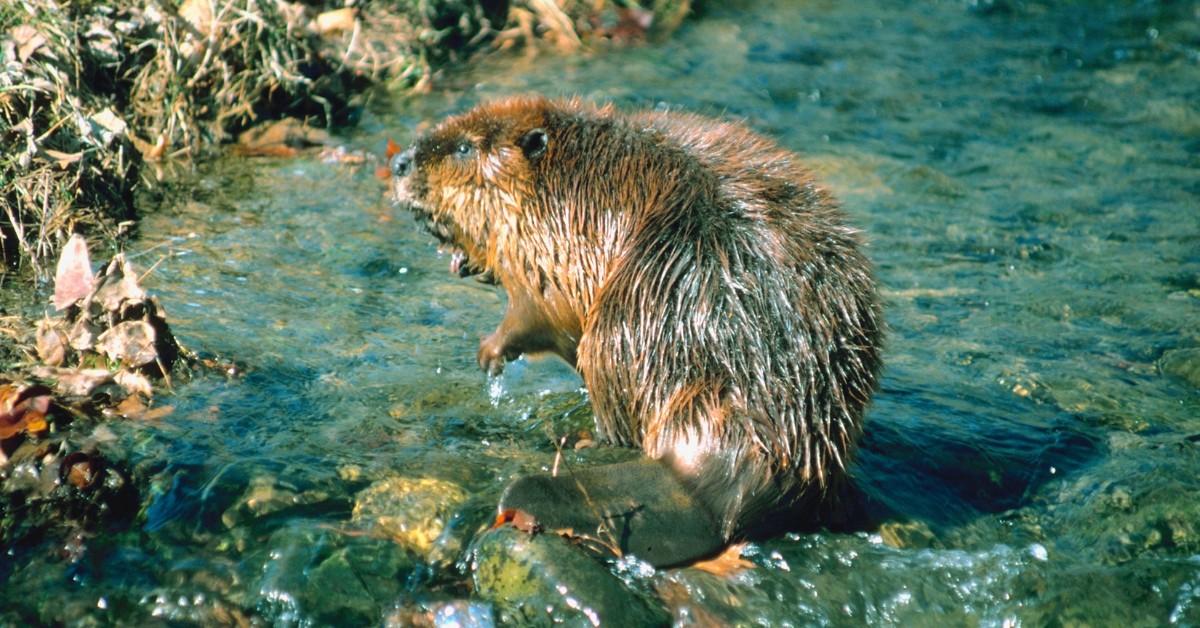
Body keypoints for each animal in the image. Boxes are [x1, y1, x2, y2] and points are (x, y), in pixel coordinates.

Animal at [391, 96, 883, 566]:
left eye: (464, 148)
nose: (398, 163)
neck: (562, 178)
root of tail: (710, 485)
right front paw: (465, 262)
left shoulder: (547, 241)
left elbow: (537, 309)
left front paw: (489, 351)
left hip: (616, 334)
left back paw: (584, 437)